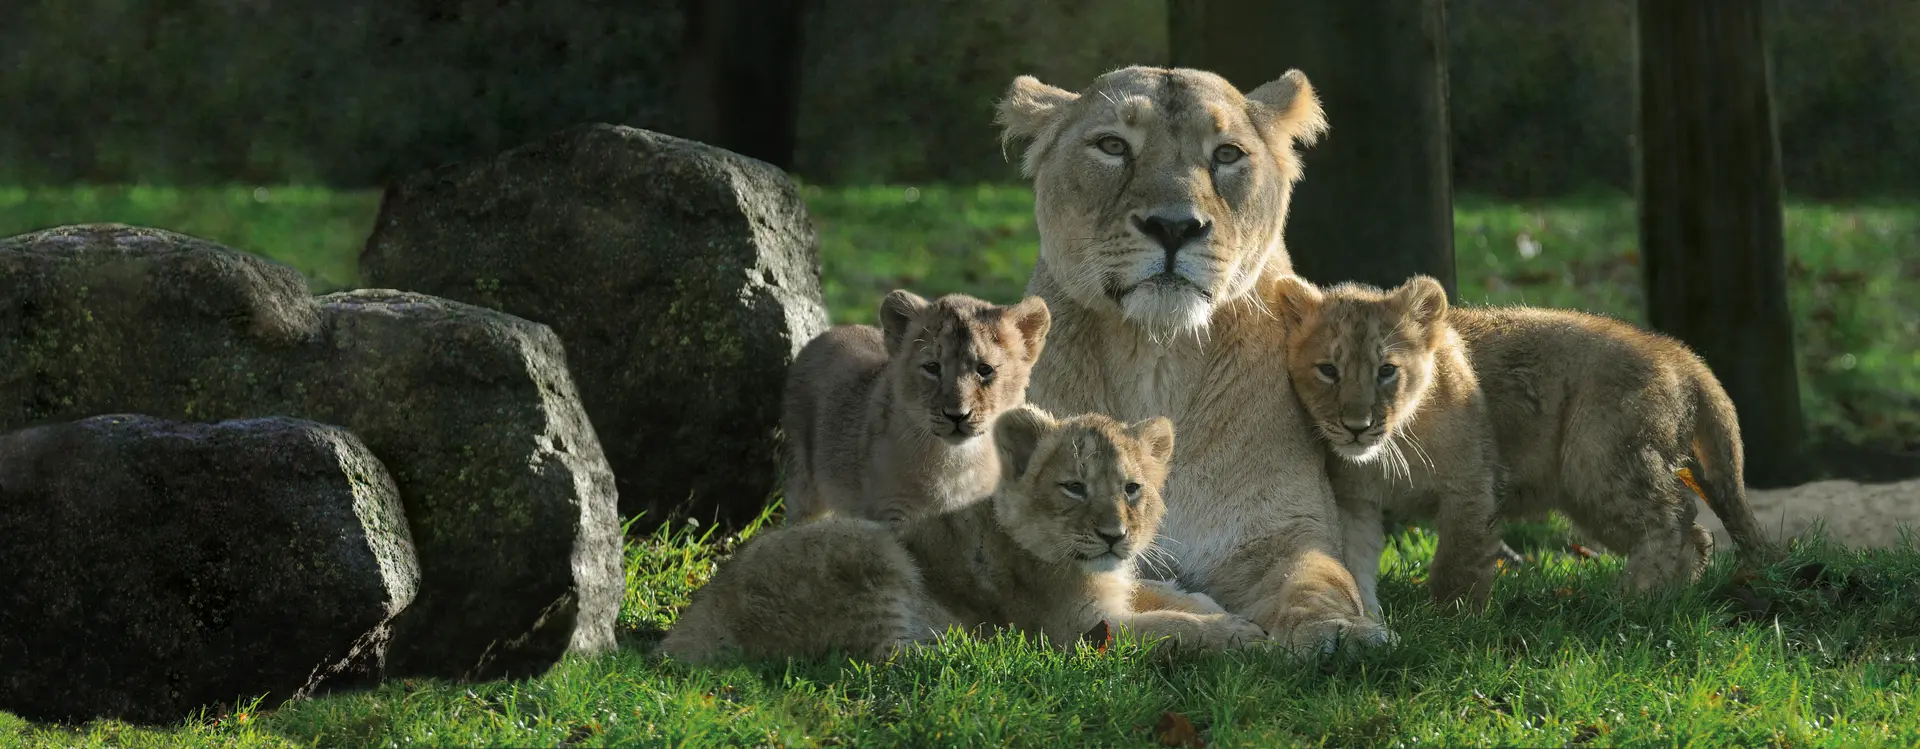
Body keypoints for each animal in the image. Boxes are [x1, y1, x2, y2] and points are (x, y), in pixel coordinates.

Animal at [657, 406, 1266, 664]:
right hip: (870, 545)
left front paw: (1224, 610)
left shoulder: (1117, 590)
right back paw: (980, 644)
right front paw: (1239, 634)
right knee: (888, 659)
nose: (1115, 535)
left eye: (1133, 488)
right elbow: (1168, 626)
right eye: (1074, 487)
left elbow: (1170, 595)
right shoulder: (1080, 632)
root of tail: (691, 626)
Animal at [781, 290, 1050, 530]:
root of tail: (830, 332)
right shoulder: (893, 511)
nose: (957, 415)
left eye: (984, 369)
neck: (957, 463)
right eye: (932, 367)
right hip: (803, 482)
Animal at [995, 65, 1394, 654]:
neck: (1158, 357)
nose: (1175, 227)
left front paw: (1341, 633)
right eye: (1113, 146)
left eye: (1226, 154)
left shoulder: (1279, 533)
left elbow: (1318, 578)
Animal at [1271, 274, 1777, 602]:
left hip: (1598, 464)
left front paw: (1447, 624)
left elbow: (1458, 564)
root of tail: (1680, 354)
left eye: (1387, 371)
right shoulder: (1354, 501)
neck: (1389, 449)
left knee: (1675, 516)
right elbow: (1351, 561)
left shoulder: (1472, 487)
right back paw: (1666, 599)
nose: (1356, 425)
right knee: (1696, 533)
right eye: (1328, 370)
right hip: (1589, 491)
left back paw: (1633, 598)